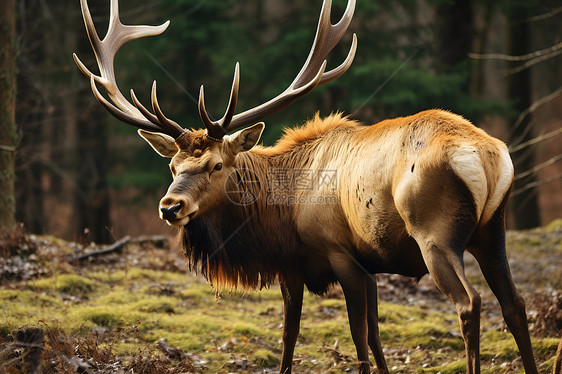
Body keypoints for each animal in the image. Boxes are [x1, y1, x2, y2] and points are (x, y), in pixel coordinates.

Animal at [72, 0, 536, 374]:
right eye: (172, 165)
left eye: (216, 164)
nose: (170, 206)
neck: (281, 215)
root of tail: (489, 154)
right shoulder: (302, 265)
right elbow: (307, 336)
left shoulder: (339, 253)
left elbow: (357, 338)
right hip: (492, 231)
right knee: (515, 304)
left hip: (435, 235)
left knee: (470, 303)